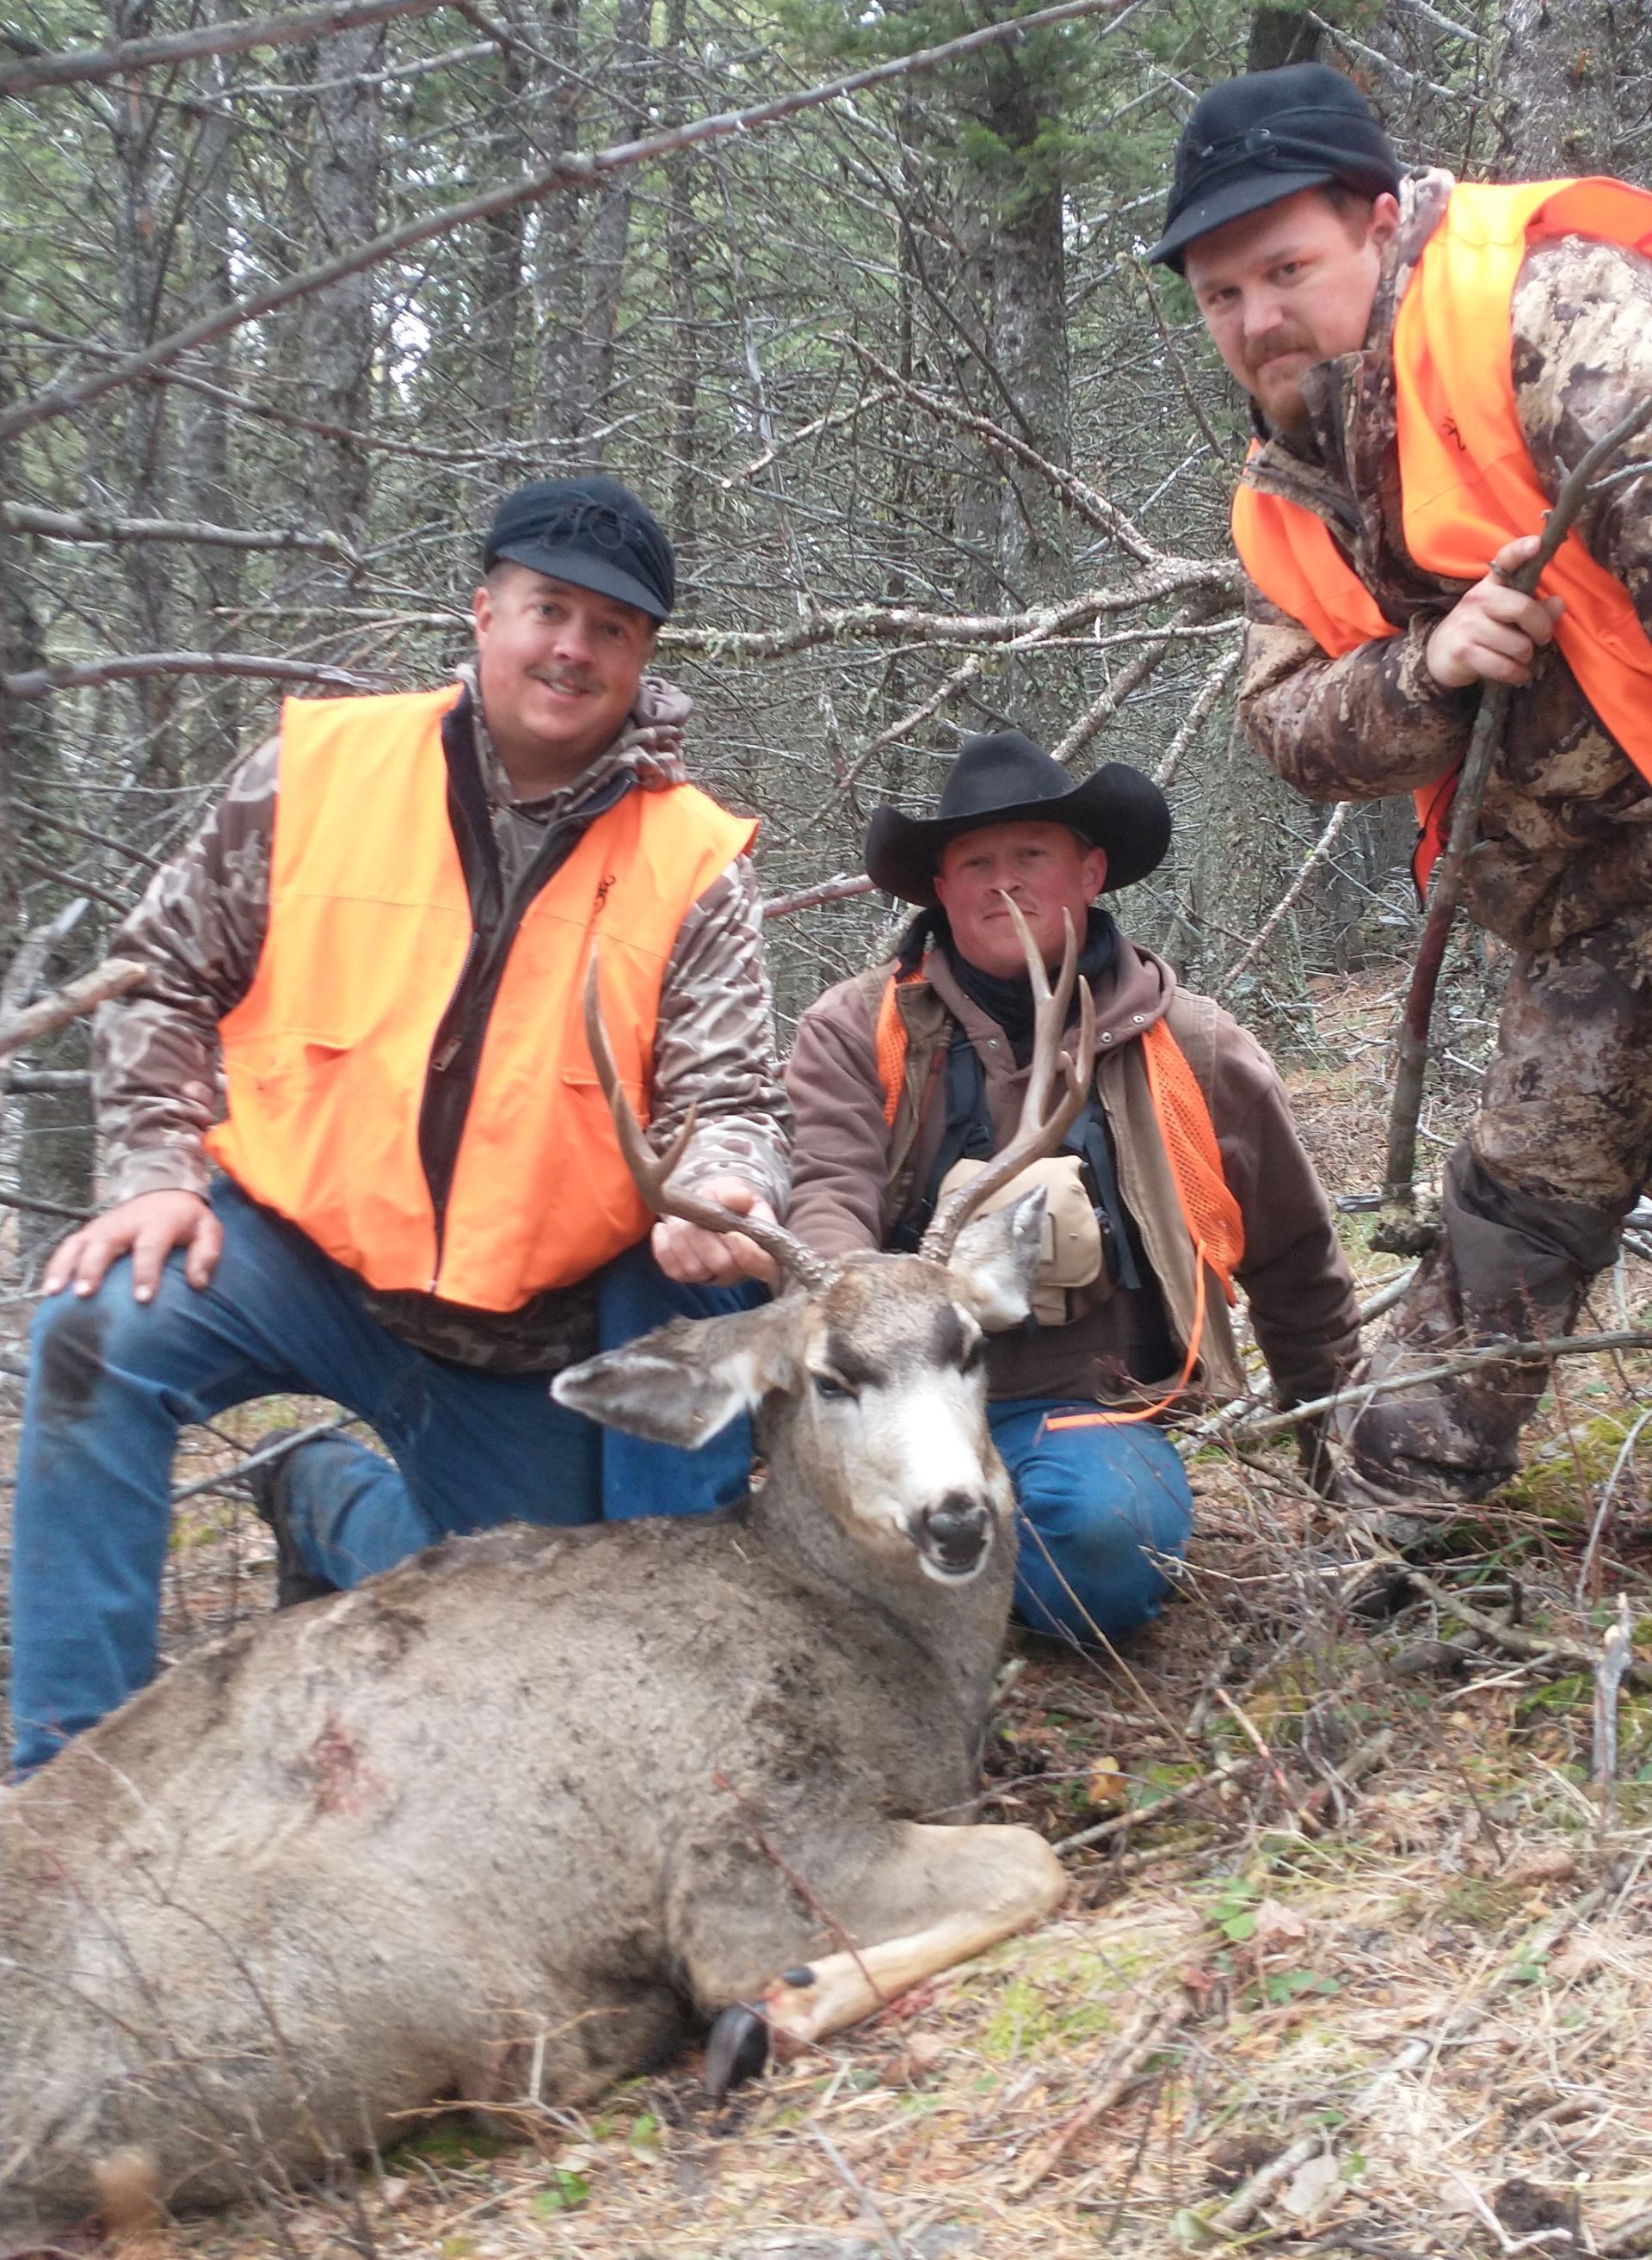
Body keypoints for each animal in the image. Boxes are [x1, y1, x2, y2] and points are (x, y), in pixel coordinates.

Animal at [0, 898, 1094, 2247]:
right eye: (831, 1375)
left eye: (971, 1347)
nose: (956, 1516)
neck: (862, 1641)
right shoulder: (749, 1838)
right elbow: (1029, 1862)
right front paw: (775, 2003)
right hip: (359, 1973)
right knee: (519, 2072)